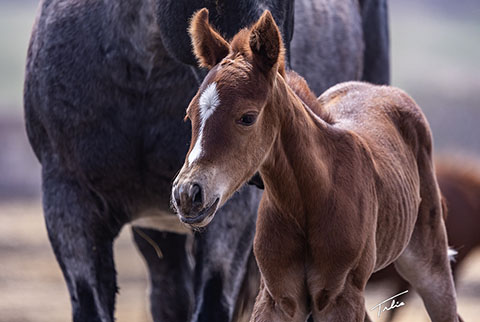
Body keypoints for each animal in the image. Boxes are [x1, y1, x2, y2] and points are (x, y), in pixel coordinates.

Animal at [171, 8, 464, 320]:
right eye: (190, 115)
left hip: (428, 261)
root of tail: (381, 89)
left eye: (247, 117)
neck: (309, 199)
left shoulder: (340, 295)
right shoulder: (278, 297)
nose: (187, 194)